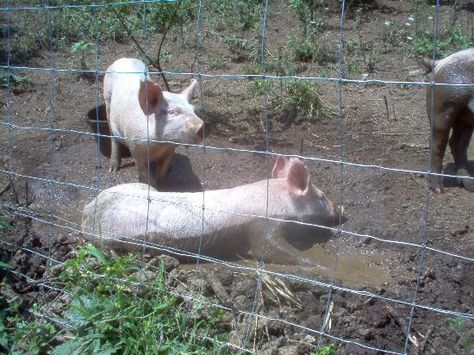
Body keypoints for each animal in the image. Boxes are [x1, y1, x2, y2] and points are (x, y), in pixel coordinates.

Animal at [80, 158, 348, 268]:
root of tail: (86, 213)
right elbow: (266, 248)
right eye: (321, 196)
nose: (342, 209)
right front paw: (318, 266)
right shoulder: (262, 226)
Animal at [103, 58, 204, 191]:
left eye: (193, 110)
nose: (202, 126)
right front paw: (149, 187)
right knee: (113, 136)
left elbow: (161, 172)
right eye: (171, 112)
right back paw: (112, 169)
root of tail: (124, 58)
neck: (158, 145)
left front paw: (162, 188)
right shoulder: (135, 149)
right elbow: (146, 177)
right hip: (107, 98)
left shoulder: (170, 150)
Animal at [424, 47, 474, 193]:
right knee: (437, 143)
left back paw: (469, 186)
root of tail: (439, 62)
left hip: (464, 116)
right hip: (442, 107)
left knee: (458, 143)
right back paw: (439, 190)